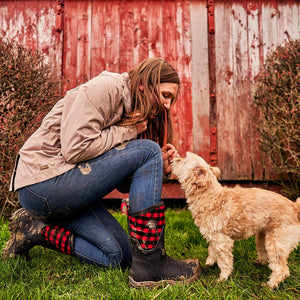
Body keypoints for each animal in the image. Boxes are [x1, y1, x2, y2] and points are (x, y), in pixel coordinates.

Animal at [171, 152, 300, 288]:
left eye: (184, 160)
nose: (175, 158)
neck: (209, 196)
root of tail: (295, 207)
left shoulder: (222, 240)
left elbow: (224, 261)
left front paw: (223, 278)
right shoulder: (213, 236)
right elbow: (211, 250)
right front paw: (210, 263)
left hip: (276, 242)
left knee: (282, 269)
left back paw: (270, 284)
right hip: (262, 237)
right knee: (265, 256)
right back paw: (259, 264)